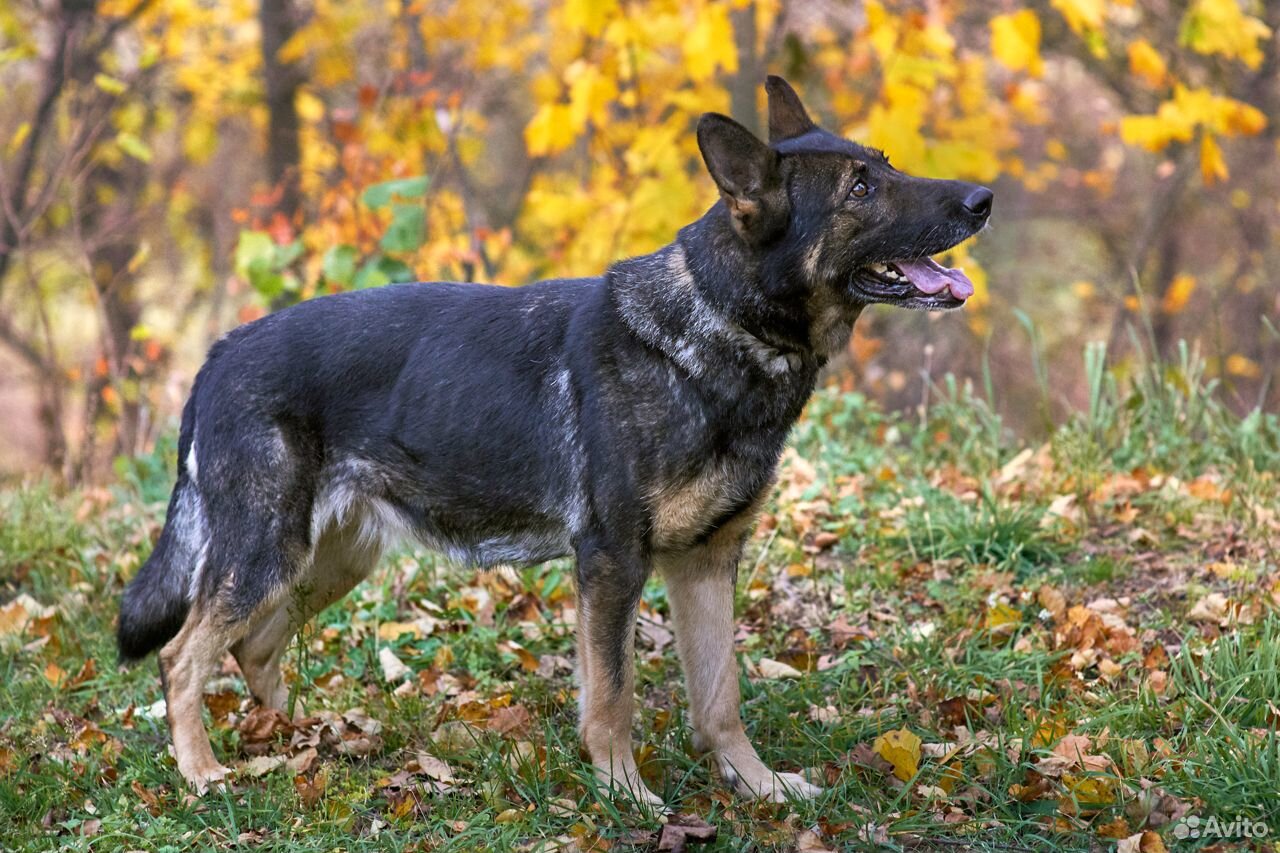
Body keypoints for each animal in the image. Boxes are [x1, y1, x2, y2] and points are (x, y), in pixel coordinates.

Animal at [117, 76, 988, 799]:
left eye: (882, 165)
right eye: (861, 188)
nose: (983, 198)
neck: (719, 323)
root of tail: (220, 353)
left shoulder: (706, 561)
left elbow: (720, 697)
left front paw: (759, 786)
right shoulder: (611, 562)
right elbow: (613, 695)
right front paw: (625, 794)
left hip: (328, 558)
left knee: (255, 647)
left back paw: (297, 740)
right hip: (267, 551)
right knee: (183, 653)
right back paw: (202, 770)